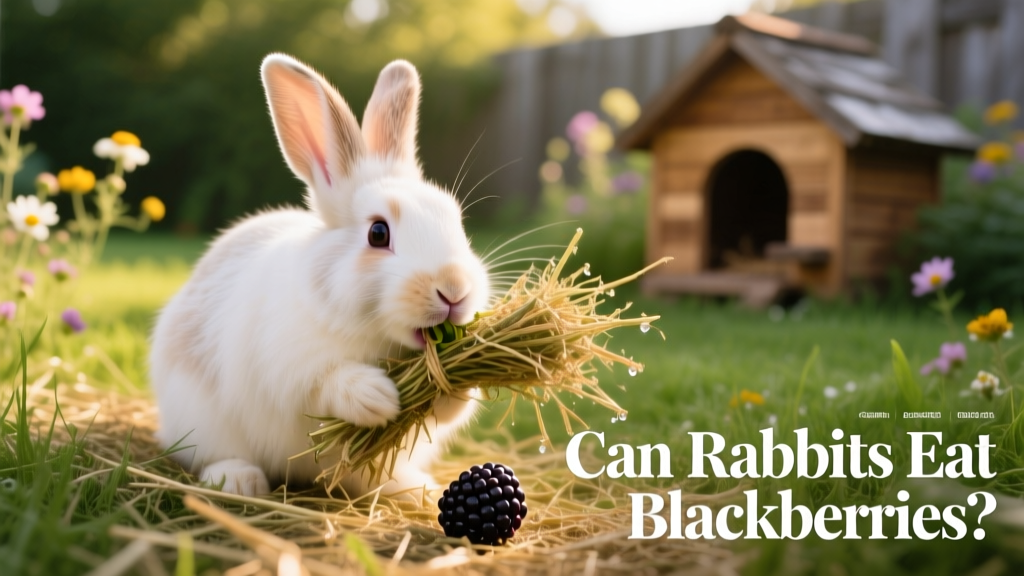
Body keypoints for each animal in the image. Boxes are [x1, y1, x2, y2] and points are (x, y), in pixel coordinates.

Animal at [149, 53, 491, 498]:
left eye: (456, 220)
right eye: (378, 233)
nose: (454, 290)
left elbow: (449, 409)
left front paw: (461, 380)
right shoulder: (288, 368)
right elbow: (325, 384)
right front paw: (376, 397)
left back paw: (416, 489)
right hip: (200, 421)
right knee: (213, 454)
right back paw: (239, 481)